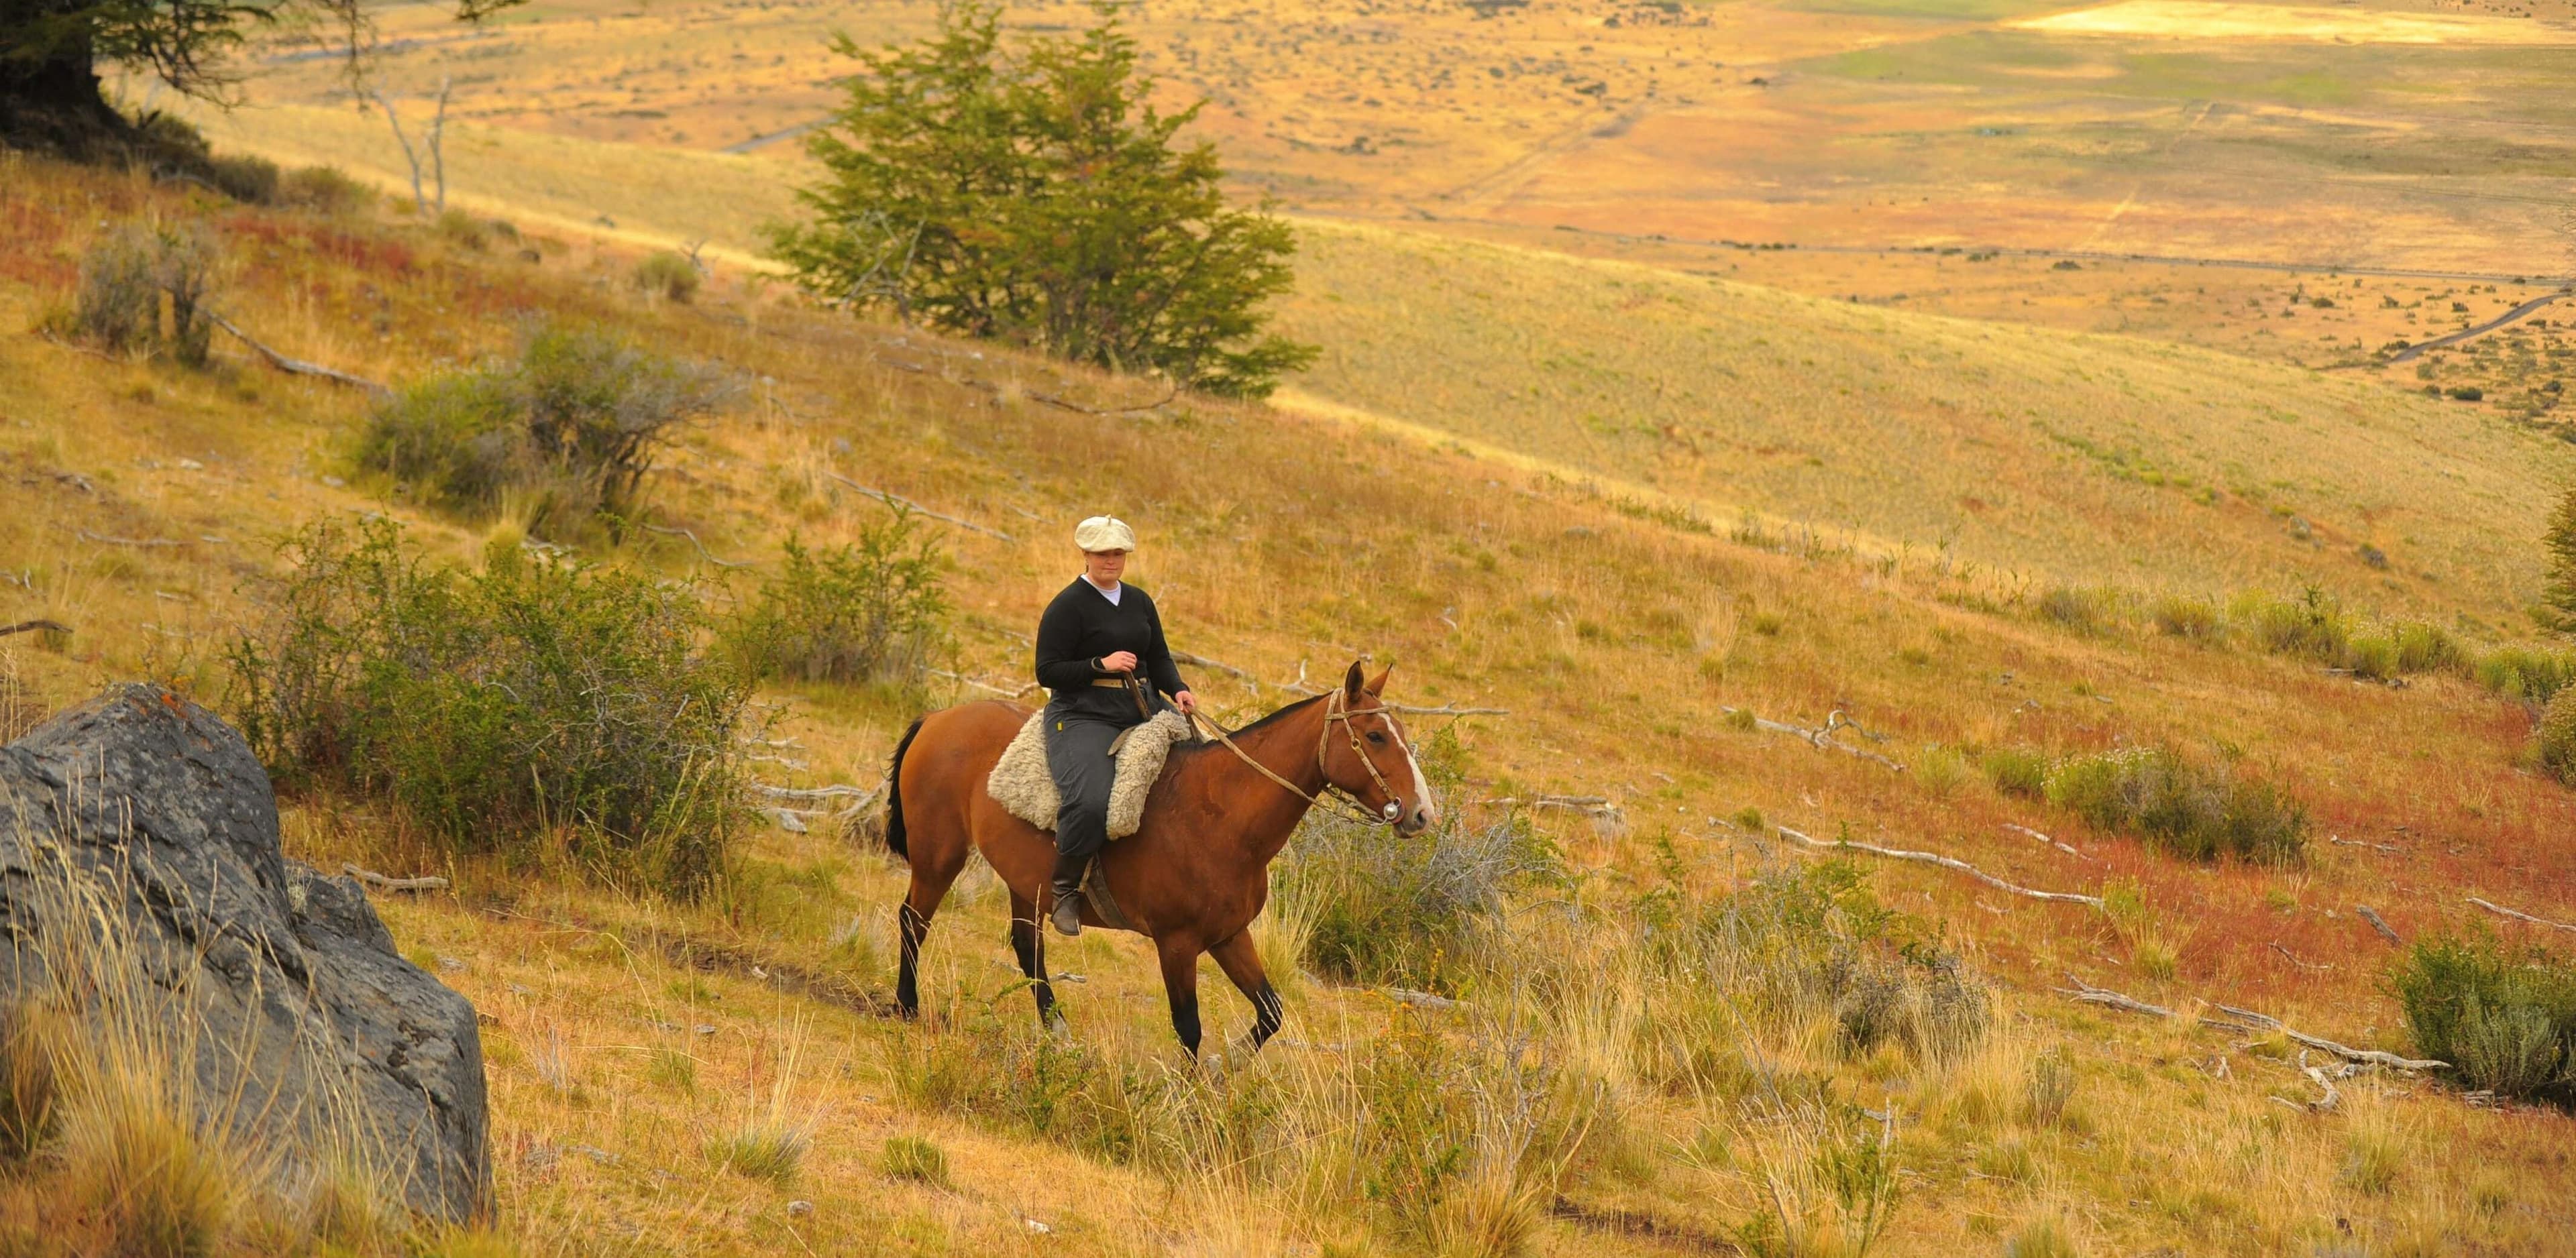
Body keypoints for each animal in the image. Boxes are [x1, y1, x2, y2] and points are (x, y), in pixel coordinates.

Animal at [881, 663, 1432, 1054]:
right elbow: (1189, 1027)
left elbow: (1271, 1012)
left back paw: (1057, 1031)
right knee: (913, 921)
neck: (1222, 817)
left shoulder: (1230, 936)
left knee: (1026, 947)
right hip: (939, 856)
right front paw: (1185, 1105)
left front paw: (1225, 1066)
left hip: (1025, 882)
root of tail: (937, 719)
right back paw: (907, 1006)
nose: (1421, 812)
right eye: (1376, 736)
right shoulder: (1177, 943)